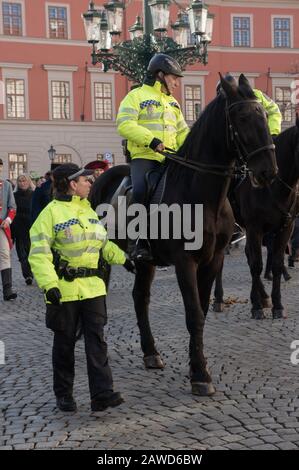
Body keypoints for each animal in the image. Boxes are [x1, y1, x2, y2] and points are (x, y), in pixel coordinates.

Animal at [90, 74, 278, 396]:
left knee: (140, 298)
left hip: (146, 263)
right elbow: (193, 313)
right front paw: (201, 375)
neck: (202, 197)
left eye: (265, 115)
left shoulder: (213, 260)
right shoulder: (184, 262)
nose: (268, 172)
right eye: (242, 117)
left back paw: (151, 353)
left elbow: (201, 309)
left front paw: (195, 367)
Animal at [214, 115, 298, 320]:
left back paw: (264, 296)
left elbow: (276, 264)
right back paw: (219, 298)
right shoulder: (255, 228)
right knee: (220, 259)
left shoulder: (286, 228)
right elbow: (257, 265)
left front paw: (276, 305)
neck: (273, 186)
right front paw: (256, 307)